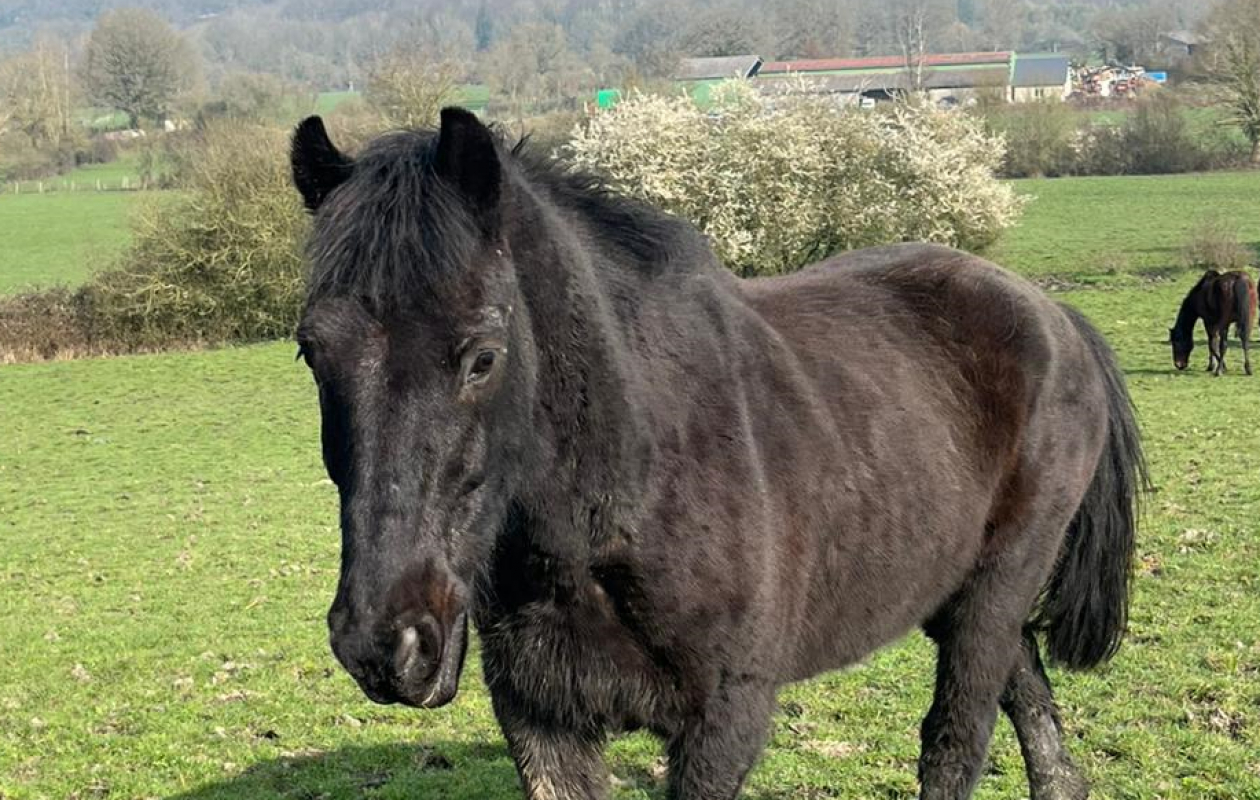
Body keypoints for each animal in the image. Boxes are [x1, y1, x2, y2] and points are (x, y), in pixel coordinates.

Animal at [290, 108, 1146, 800]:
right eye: (310, 353)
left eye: (482, 358)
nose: (387, 643)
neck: (632, 481)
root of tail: (1052, 313)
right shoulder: (544, 724)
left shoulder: (722, 724)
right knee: (1028, 695)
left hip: (998, 585)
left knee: (956, 741)